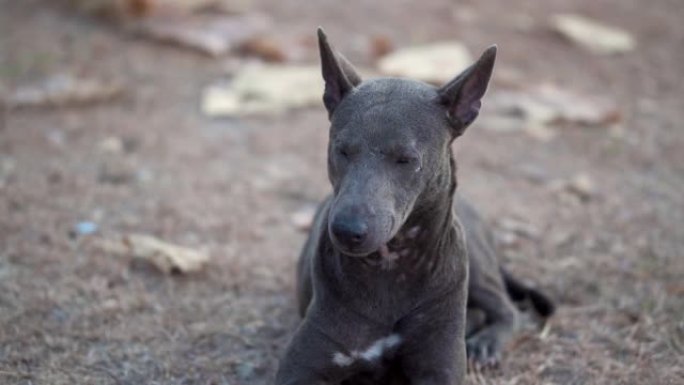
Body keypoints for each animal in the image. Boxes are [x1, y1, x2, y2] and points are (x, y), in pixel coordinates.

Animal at [276, 28, 552, 382]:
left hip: (475, 264)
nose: (346, 230)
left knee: (508, 308)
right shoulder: (301, 366)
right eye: (341, 150)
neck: (390, 269)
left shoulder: (439, 366)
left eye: (406, 159)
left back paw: (485, 343)